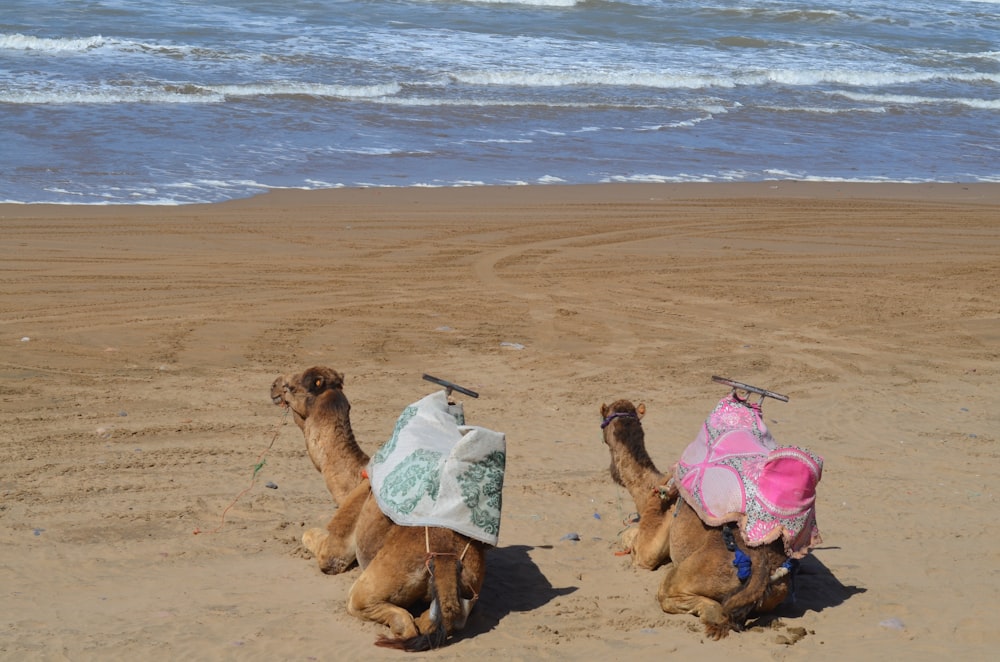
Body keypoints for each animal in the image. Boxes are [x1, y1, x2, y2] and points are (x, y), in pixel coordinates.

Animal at [270, 368, 488, 652]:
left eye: (292, 387)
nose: (273, 385)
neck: (356, 477)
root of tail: (445, 560)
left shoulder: (337, 546)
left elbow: (315, 542)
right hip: (468, 592)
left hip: (381, 578)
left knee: (380, 610)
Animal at [596, 402, 792, 640]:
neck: (650, 488)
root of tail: (763, 569)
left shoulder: (651, 537)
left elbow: (633, 544)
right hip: (777, 592)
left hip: (698, 572)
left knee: (673, 595)